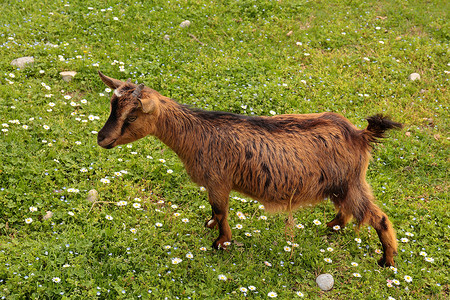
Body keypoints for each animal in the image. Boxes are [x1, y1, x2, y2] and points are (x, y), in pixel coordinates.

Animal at [96, 71, 402, 268]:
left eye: (131, 116)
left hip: (351, 183)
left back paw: (386, 261)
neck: (196, 133)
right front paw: (210, 226)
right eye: (112, 107)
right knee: (348, 210)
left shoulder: (219, 180)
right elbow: (214, 213)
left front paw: (221, 242)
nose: (101, 139)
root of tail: (360, 134)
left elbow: (221, 212)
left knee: (380, 218)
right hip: (341, 185)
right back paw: (333, 226)